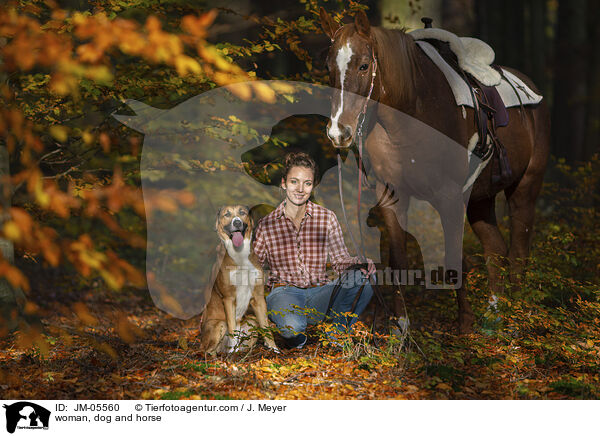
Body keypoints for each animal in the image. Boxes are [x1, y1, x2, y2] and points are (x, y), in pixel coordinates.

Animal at [200, 205, 278, 354]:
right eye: (227, 214)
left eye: (242, 213)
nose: (237, 222)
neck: (240, 254)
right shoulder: (228, 298)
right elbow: (232, 327)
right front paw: (232, 353)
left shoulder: (258, 297)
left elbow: (266, 326)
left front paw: (274, 348)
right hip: (219, 325)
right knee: (208, 351)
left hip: (251, 321)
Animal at [318, 8, 548, 332]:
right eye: (328, 68)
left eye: (363, 65)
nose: (339, 132)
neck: (413, 113)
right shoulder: (392, 196)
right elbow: (399, 261)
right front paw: (400, 328)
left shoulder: (448, 197)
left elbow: (453, 259)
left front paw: (465, 327)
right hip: (480, 199)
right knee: (496, 249)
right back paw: (494, 314)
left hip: (525, 187)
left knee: (518, 251)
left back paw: (516, 314)